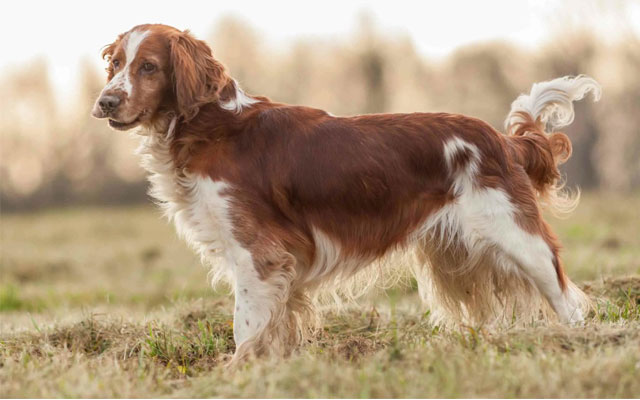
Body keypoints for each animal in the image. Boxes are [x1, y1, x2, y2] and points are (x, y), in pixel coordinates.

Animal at [91, 24, 600, 362]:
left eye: (149, 67)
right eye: (115, 65)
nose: (105, 102)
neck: (211, 125)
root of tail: (504, 140)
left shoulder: (259, 254)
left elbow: (246, 327)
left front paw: (238, 371)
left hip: (517, 238)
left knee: (568, 300)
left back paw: (581, 343)